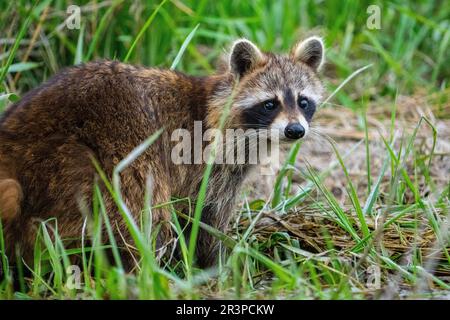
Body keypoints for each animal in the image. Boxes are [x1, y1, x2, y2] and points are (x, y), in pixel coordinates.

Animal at [0, 36, 326, 268]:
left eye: (303, 101)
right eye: (270, 104)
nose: (295, 130)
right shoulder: (208, 163)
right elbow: (204, 217)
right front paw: (217, 265)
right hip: (110, 157)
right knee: (144, 210)